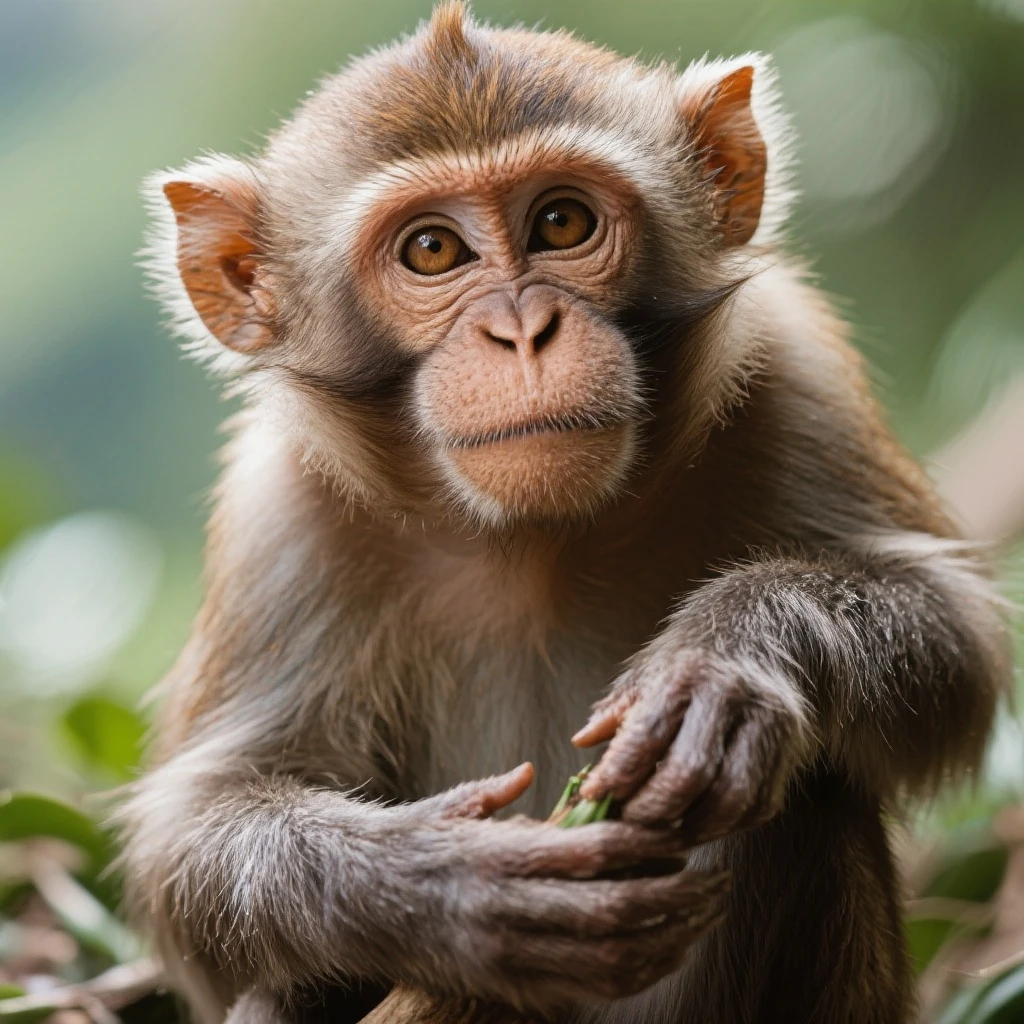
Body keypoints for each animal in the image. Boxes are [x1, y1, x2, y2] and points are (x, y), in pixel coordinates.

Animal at [120, 4, 1011, 1023]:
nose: (521, 331)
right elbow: (194, 832)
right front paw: (448, 884)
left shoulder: (795, 366)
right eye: (432, 250)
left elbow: (957, 639)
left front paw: (731, 656)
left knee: (808, 792)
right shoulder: (279, 513)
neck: (535, 538)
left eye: (561, 222)